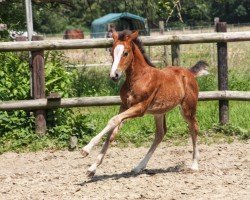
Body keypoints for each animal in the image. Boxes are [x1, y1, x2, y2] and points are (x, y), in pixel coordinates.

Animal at [81, 30, 208, 177]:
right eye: (112, 52)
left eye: (126, 53)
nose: (114, 75)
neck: (138, 78)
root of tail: (189, 72)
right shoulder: (124, 106)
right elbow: (112, 132)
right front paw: (92, 168)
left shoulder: (140, 108)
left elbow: (113, 120)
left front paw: (86, 149)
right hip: (159, 112)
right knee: (160, 133)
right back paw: (139, 167)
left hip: (187, 109)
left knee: (194, 127)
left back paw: (194, 164)